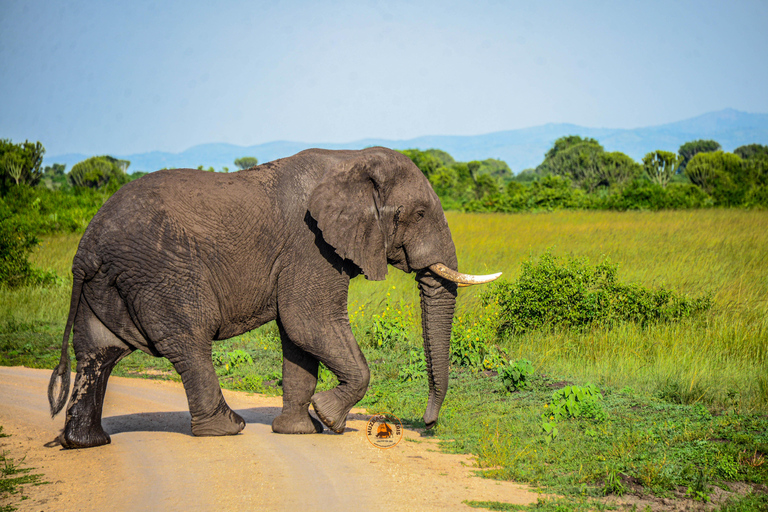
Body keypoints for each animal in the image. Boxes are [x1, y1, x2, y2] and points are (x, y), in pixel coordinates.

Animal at [49, 147, 504, 448]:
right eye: (420, 214)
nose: (427, 423)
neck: (351, 159)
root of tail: (86, 247)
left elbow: (297, 339)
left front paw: (300, 431)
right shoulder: (311, 245)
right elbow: (309, 321)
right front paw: (330, 418)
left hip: (107, 283)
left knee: (98, 353)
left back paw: (86, 443)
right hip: (161, 270)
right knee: (188, 340)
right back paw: (227, 429)